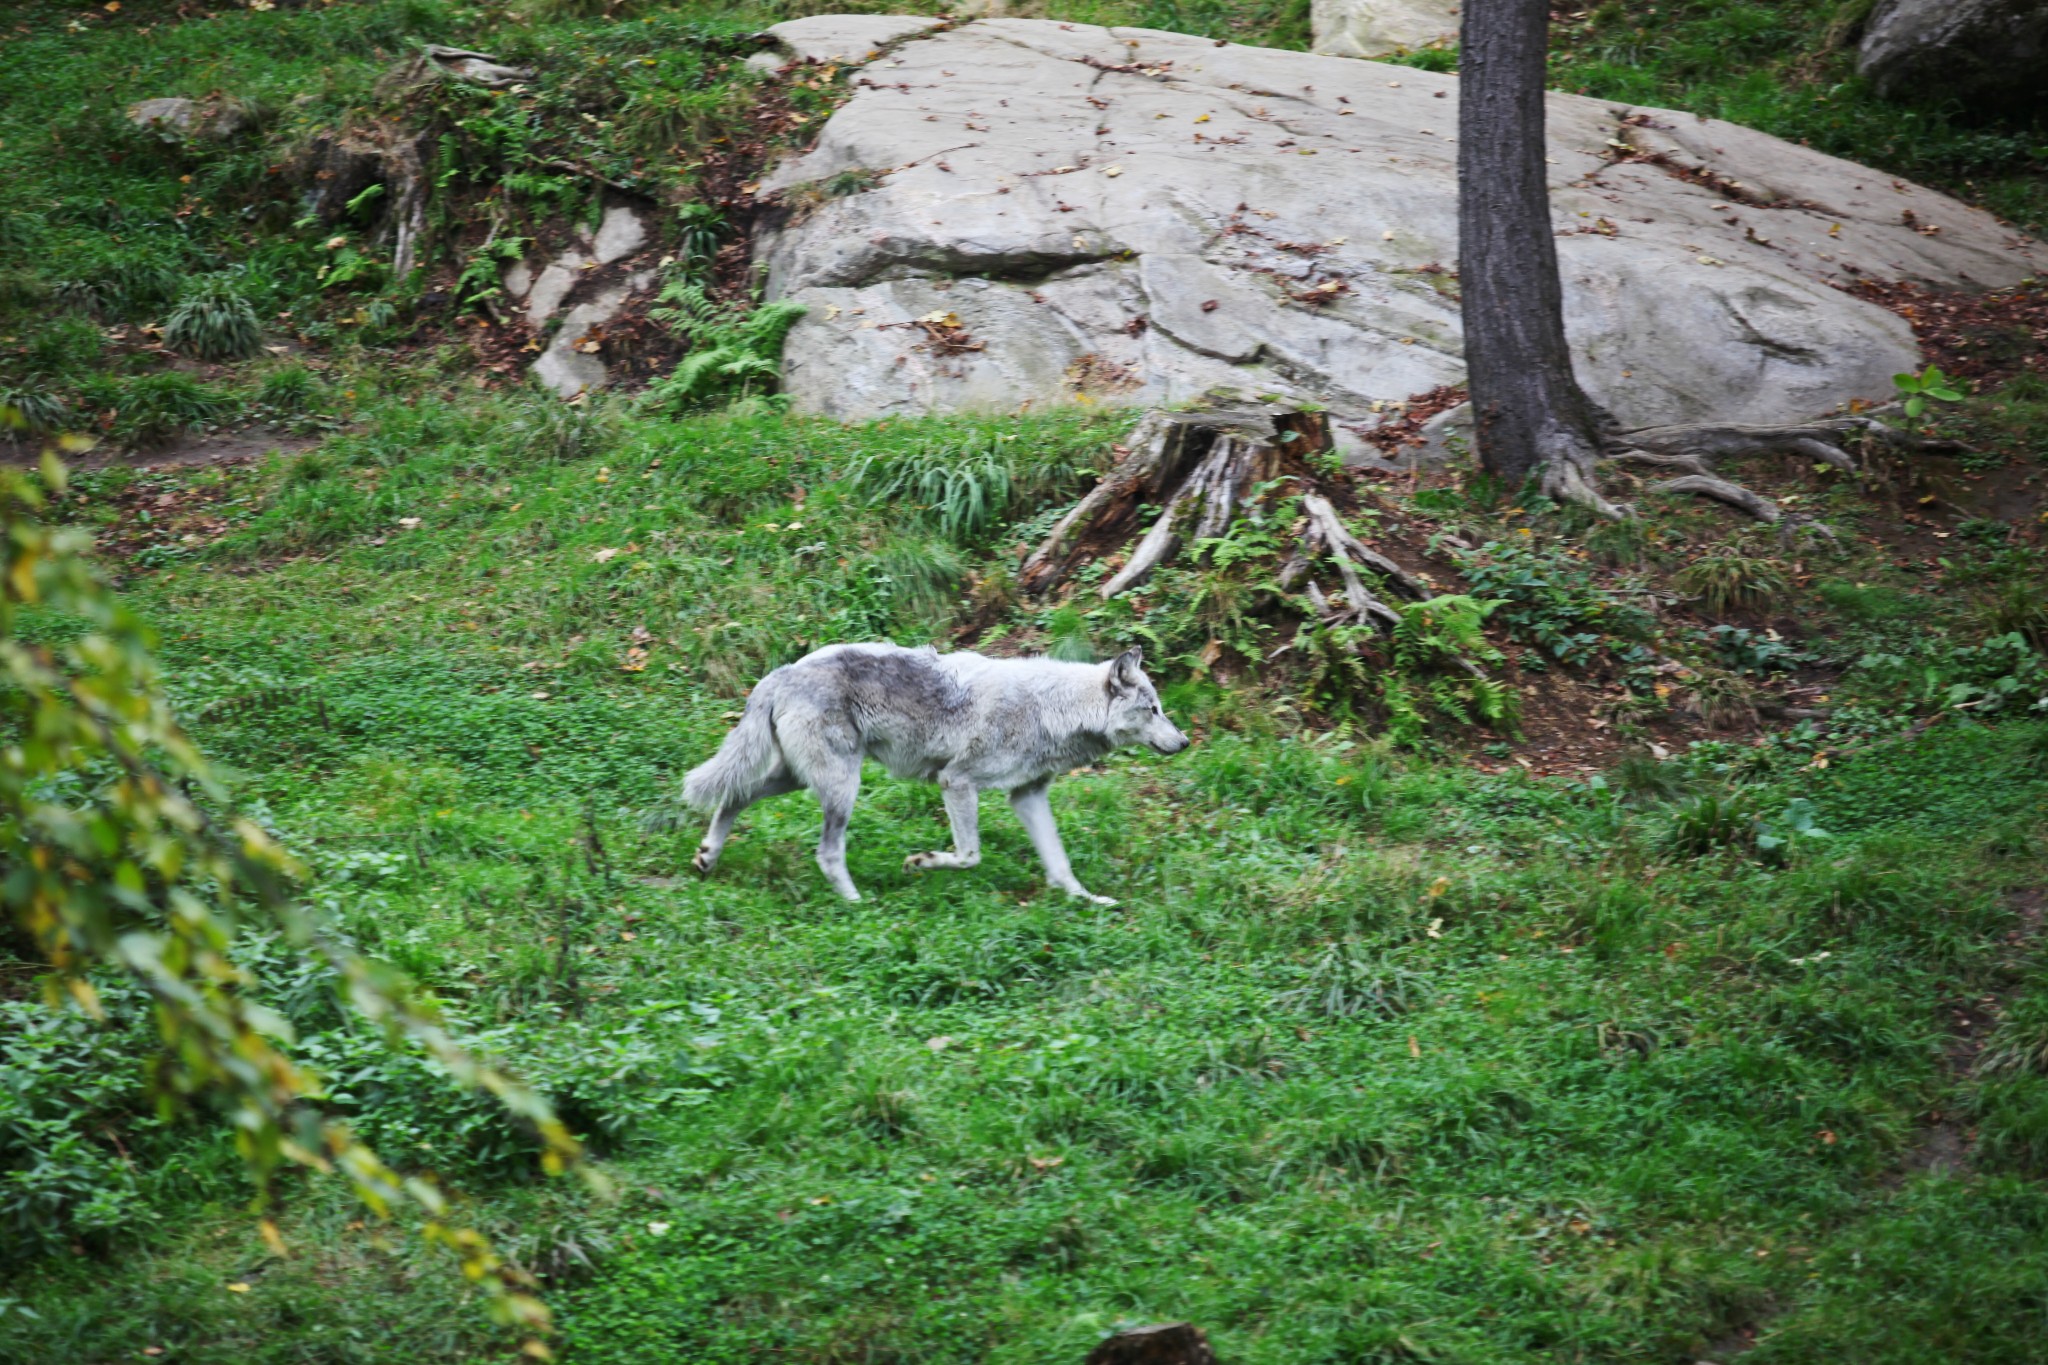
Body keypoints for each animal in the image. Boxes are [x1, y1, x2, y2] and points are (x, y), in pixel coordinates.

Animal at [679, 642, 1196, 900]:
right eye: (1153, 709)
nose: (1186, 742)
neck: (1052, 709)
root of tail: (782, 671)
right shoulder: (957, 782)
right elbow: (969, 856)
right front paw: (921, 863)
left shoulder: (1027, 797)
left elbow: (1060, 863)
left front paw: (1086, 901)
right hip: (842, 787)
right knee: (826, 853)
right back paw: (857, 905)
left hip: (797, 779)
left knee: (734, 796)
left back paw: (707, 856)